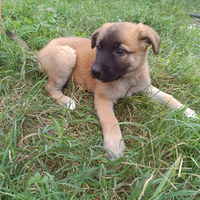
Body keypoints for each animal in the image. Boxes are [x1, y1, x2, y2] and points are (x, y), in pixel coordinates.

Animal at [6, 22, 198, 159]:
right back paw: (65, 101)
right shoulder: (102, 99)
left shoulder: (146, 88)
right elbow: (111, 121)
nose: (94, 72)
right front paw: (114, 146)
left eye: (120, 51)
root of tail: (39, 53)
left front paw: (188, 112)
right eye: (98, 47)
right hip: (66, 56)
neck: (127, 77)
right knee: (49, 87)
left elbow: (168, 97)